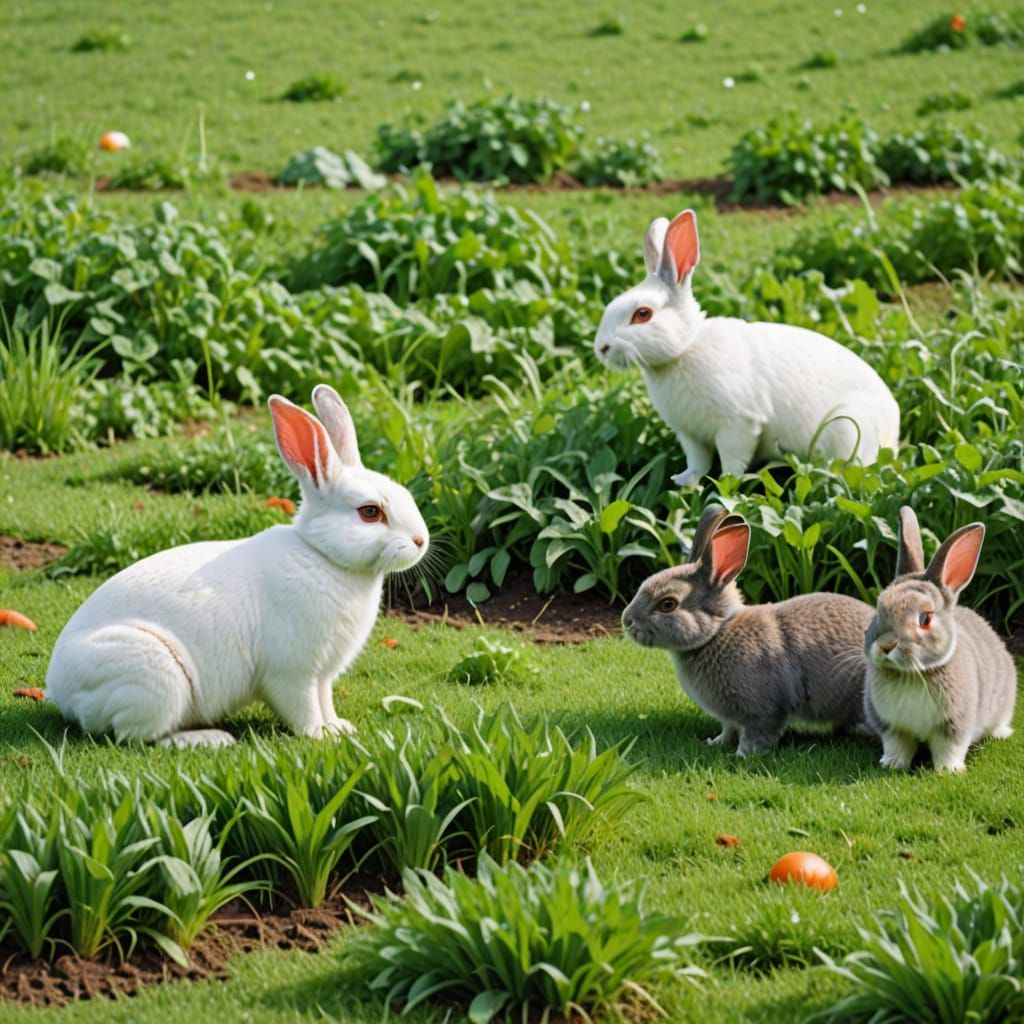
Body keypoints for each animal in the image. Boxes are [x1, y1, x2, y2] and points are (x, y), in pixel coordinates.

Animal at [44, 384, 429, 748]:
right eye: (370, 512)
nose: (421, 540)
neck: (321, 554)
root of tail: (59, 689)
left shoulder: (322, 676)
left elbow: (325, 702)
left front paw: (338, 728)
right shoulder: (293, 673)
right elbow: (303, 709)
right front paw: (318, 735)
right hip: (154, 679)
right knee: (135, 736)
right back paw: (209, 739)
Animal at [593, 209, 900, 487]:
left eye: (643, 314)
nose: (601, 347)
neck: (685, 350)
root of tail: (892, 431)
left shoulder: (738, 425)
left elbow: (732, 460)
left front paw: (726, 486)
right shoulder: (691, 436)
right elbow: (698, 462)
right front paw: (685, 481)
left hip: (845, 428)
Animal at [621, 505, 875, 755]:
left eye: (667, 604)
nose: (627, 621)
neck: (716, 633)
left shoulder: (762, 712)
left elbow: (757, 735)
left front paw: (741, 756)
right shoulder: (731, 717)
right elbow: (728, 729)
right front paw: (715, 742)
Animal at [864, 506, 1016, 773]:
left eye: (925, 618)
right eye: (879, 606)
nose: (885, 646)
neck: (913, 674)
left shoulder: (955, 725)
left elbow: (950, 749)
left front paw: (949, 771)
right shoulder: (893, 728)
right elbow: (897, 746)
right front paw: (892, 764)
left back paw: (1001, 733)